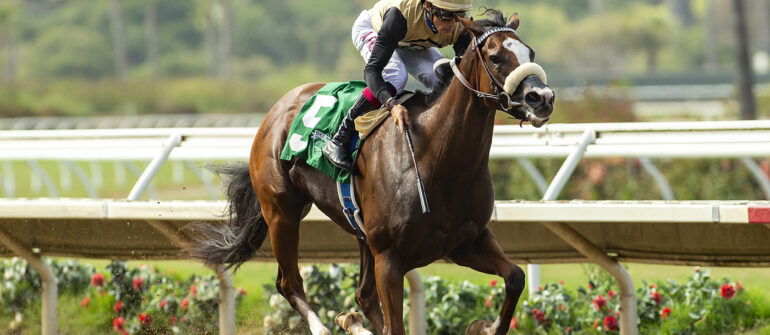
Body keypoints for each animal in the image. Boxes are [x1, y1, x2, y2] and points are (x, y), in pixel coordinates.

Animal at [188, 10, 548, 335]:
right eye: (496, 57)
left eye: (530, 53)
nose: (542, 97)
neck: (438, 161)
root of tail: (275, 111)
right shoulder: (389, 257)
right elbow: (395, 326)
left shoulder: (467, 241)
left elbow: (515, 277)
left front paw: (484, 326)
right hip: (281, 213)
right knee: (289, 283)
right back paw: (325, 327)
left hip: (358, 232)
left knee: (362, 296)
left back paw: (353, 322)